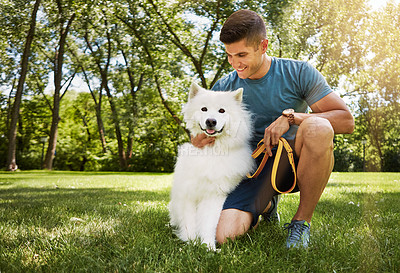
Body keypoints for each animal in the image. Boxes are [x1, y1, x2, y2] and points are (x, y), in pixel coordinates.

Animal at [169, 81, 253, 249]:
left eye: (222, 111)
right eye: (204, 109)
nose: (211, 121)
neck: (212, 150)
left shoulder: (213, 195)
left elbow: (208, 224)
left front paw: (208, 246)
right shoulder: (188, 195)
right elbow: (189, 224)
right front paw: (191, 242)